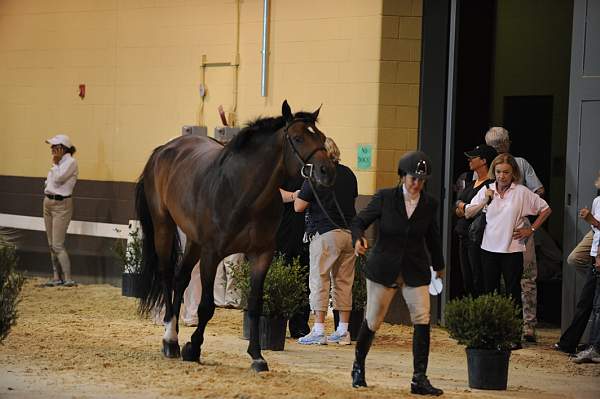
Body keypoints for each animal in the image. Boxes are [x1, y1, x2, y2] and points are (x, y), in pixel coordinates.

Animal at [133, 99, 336, 372]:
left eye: (321, 137)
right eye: (298, 138)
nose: (327, 172)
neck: (243, 192)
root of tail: (164, 149)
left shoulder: (261, 255)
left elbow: (255, 304)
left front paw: (257, 356)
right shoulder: (212, 254)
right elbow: (206, 306)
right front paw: (193, 348)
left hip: (194, 241)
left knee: (181, 278)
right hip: (163, 226)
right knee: (167, 276)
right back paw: (170, 340)